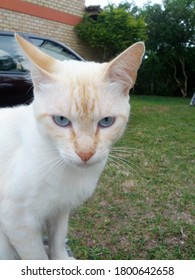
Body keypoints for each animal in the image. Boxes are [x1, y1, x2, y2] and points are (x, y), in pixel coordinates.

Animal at [0, 35, 145, 260]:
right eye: (61, 120)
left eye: (106, 122)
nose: (85, 153)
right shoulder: (18, 222)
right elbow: (38, 257)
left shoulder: (60, 208)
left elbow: (58, 239)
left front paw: (61, 258)